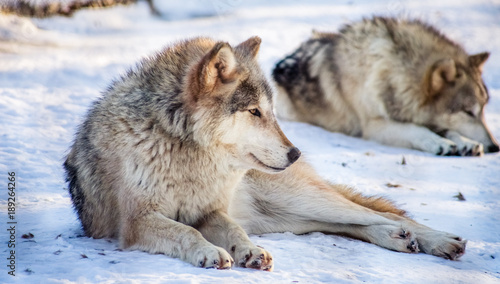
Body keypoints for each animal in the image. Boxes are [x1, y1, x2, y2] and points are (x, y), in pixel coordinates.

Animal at [64, 36, 466, 272]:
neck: (186, 151)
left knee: (379, 213)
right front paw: (214, 252)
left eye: (271, 112)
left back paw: (440, 240)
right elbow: (185, 231)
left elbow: (232, 229)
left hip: (303, 201)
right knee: (356, 224)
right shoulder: (138, 221)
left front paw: (247, 250)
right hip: (291, 219)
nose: (295, 152)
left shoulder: (211, 212)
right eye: (254, 112)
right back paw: (399, 238)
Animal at [274, 16, 500, 156]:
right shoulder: (374, 125)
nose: (495, 146)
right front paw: (440, 143)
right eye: (468, 112)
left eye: (482, 110)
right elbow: (414, 129)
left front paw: (465, 142)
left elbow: (445, 129)